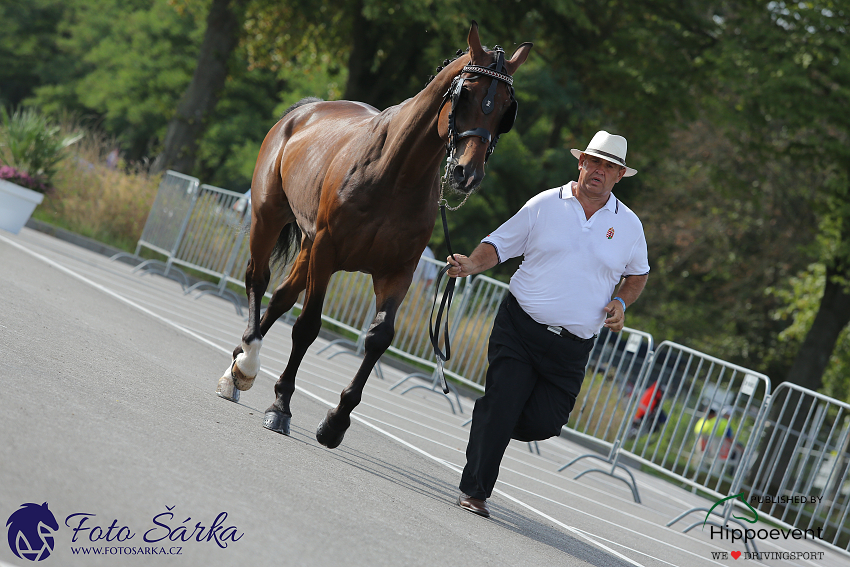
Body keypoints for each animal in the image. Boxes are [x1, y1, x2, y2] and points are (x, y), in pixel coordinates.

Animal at [214, 21, 528, 448]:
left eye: (505, 110)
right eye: (466, 95)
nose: (467, 174)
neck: (396, 173)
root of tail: (306, 111)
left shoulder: (398, 270)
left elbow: (379, 338)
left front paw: (336, 421)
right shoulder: (327, 251)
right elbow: (308, 326)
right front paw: (280, 406)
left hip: (308, 243)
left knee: (280, 296)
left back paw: (239, 364)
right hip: (269, 216)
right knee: (257, 279)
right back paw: (245, 361)